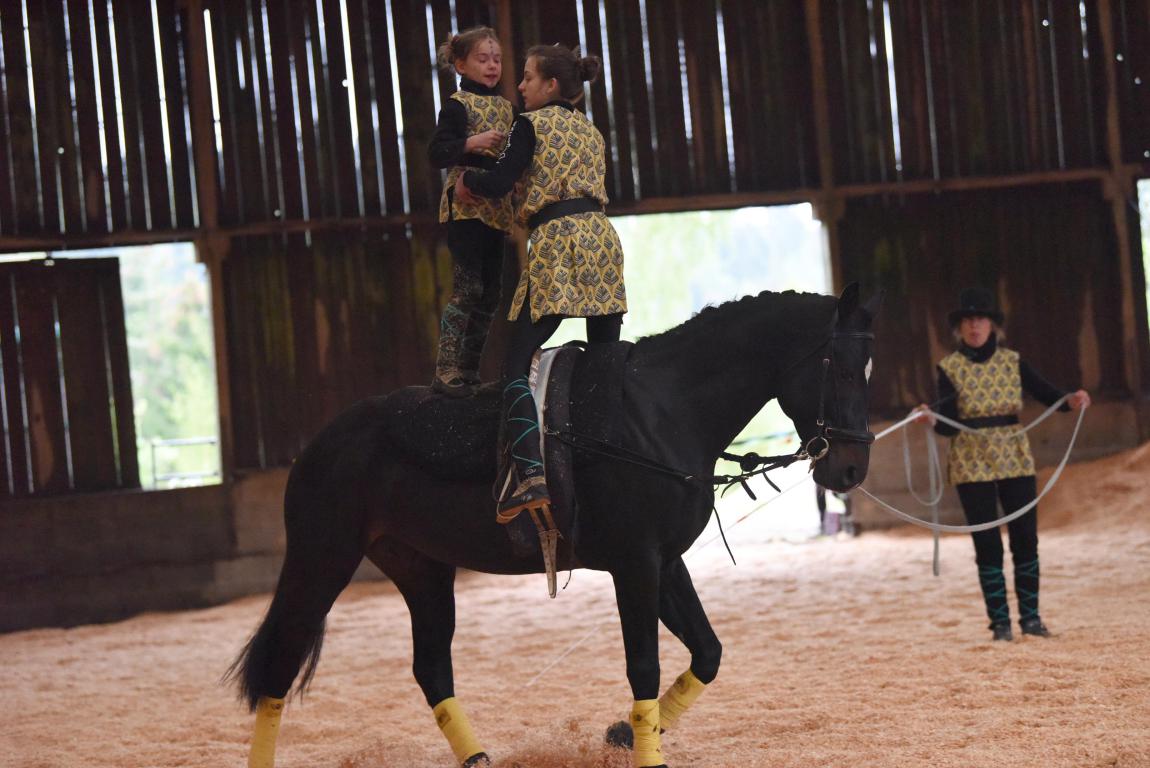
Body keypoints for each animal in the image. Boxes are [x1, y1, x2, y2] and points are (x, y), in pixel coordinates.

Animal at [228, 283, 883, 768]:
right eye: (842, 367)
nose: (851, 468)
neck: (658, 412)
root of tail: (322, 443)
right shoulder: (635, 564)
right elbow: (644, 665)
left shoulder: (665, 562)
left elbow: (707, 652)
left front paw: (624, 733)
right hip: (322, 559)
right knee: (280, 665)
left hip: (422, 570)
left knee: (431, 669)